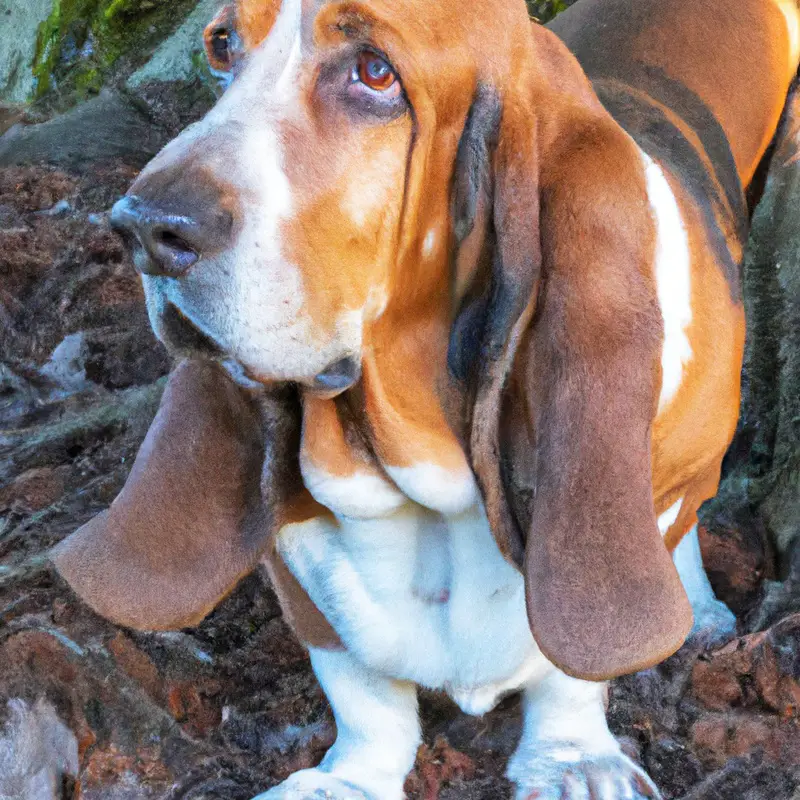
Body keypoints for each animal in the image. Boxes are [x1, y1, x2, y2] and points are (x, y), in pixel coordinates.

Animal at [51, 0, 800, 796]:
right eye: (221, 46)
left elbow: (569, 669)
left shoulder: (657, 494)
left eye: (375, 72)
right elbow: (360, 689)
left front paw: (572, 759)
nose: (140, 225)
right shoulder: (299, 572)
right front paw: (350, 777)